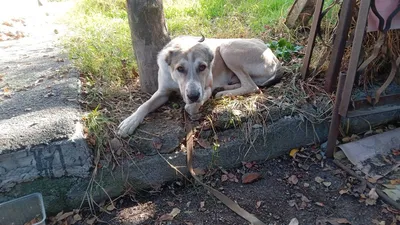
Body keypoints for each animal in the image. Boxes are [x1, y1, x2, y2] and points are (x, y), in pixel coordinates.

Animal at [117, 35, 282, 137]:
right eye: (180, 69)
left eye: (202, 67)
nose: (193, 95)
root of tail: (275, 59)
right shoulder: (162, 92)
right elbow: (144, 105)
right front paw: (129, 122)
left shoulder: (206, 88)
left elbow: (193, 104)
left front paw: (192, 105)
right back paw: (224, 88)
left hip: (227, 48)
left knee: (251, 86)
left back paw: (222, 93)